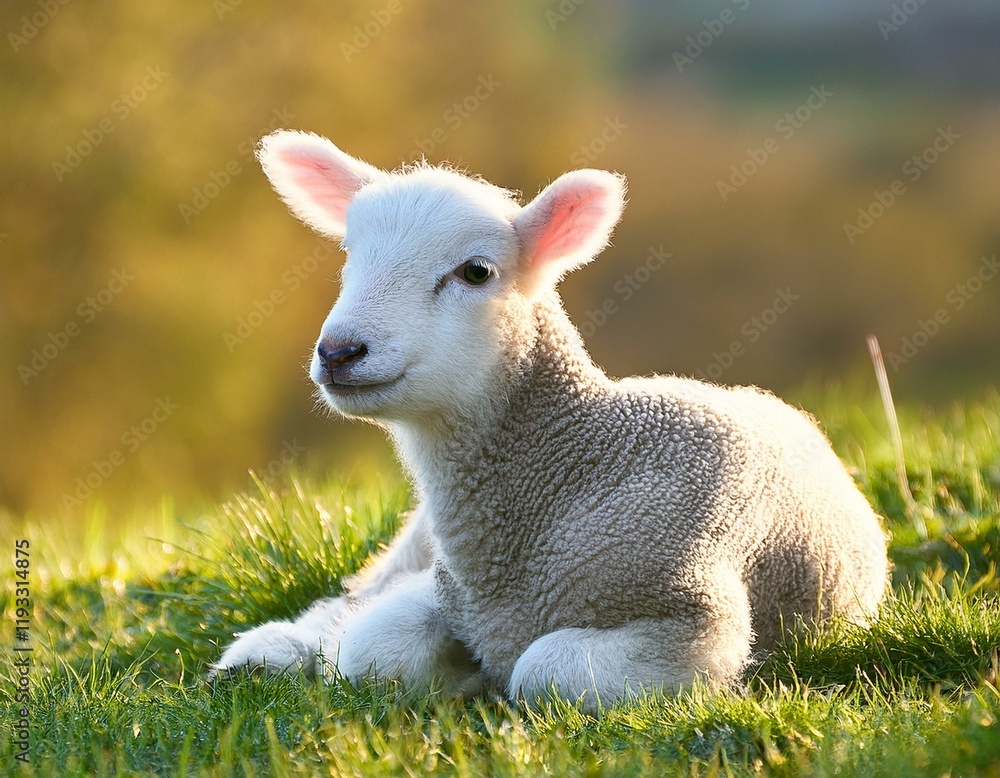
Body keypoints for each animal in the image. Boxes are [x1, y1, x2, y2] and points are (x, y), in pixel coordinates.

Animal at [211, 129, 889, 711]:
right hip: (415, 539)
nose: (340, 351)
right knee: (357, 593)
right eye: (350, 254)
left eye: (476, 271)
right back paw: (266, 653)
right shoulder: (447, 586)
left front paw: (482, 678)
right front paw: (453, 671)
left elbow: (543, 669)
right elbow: (373, 650)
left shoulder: (697, 620)